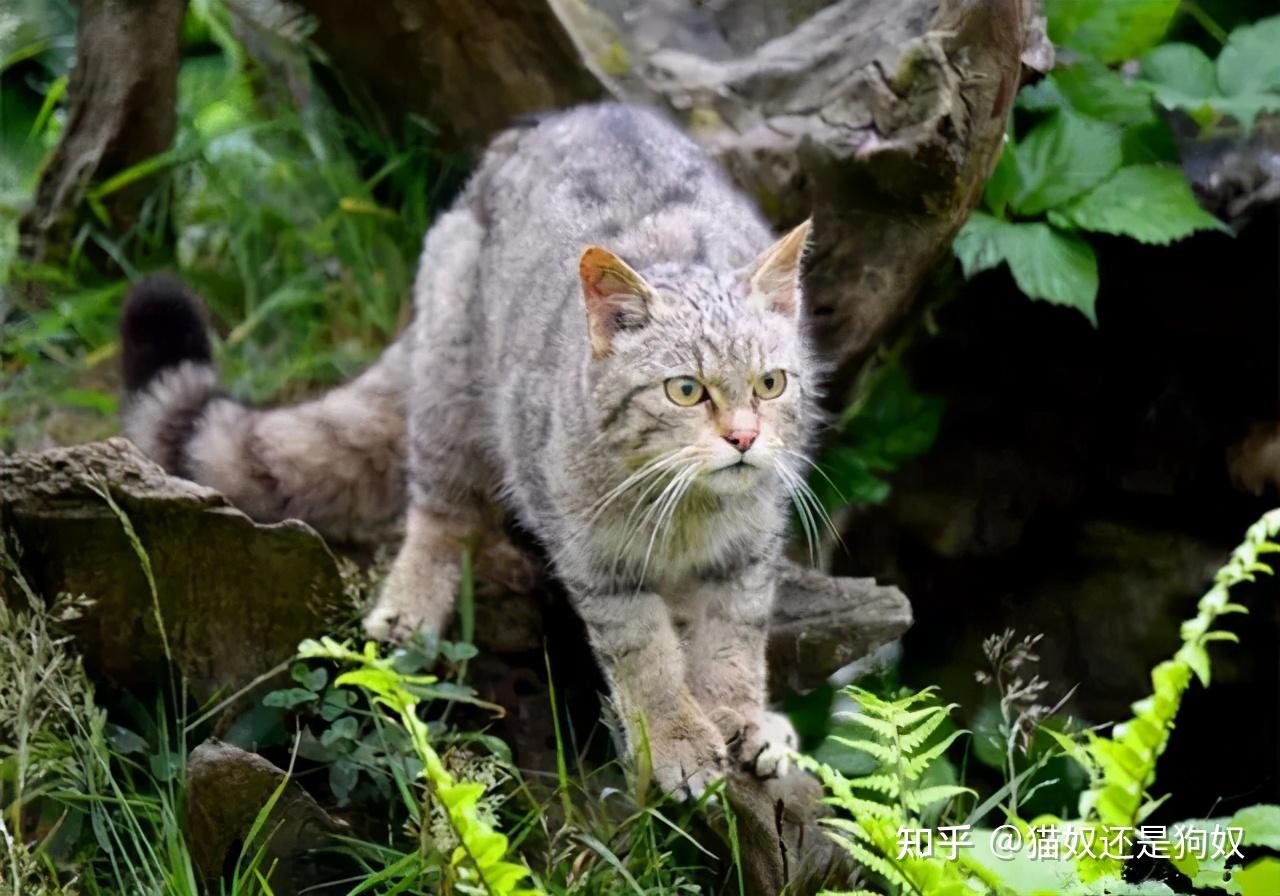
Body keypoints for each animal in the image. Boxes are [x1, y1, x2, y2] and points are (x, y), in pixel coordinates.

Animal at [120, 104, 819, 798]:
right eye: (685, 390)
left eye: (770, 383)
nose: (744, 438)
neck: (688, 511)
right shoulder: (600, 566)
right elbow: (646, 656)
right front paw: (678, 738)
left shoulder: (746, 556)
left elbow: (731, 643)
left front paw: (739, 718)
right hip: (450, 395)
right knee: (439, 513)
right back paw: (408, 608)